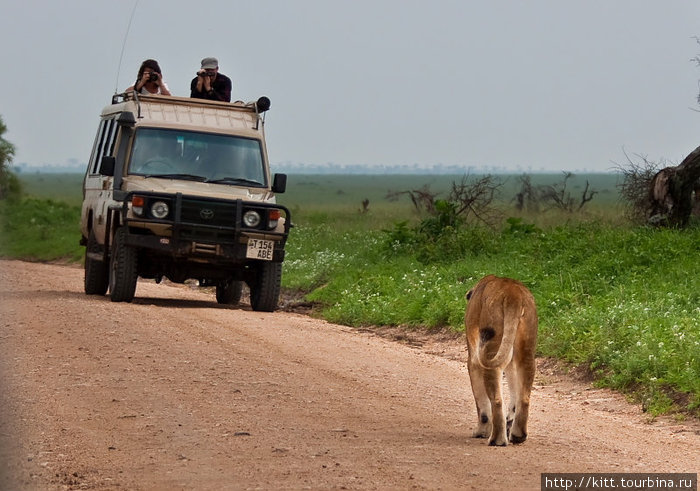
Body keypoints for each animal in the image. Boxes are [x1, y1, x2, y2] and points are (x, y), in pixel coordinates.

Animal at [464, 274, 540, 448]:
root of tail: (513, 295)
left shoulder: (473, 361)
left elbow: (481, 404)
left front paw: (481, 432)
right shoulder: (511, 363)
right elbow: (513, 396)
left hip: (490, 349)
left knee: (497, 401)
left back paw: (497, 440)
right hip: (526, 352)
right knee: (524, 398)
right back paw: (518, 435)